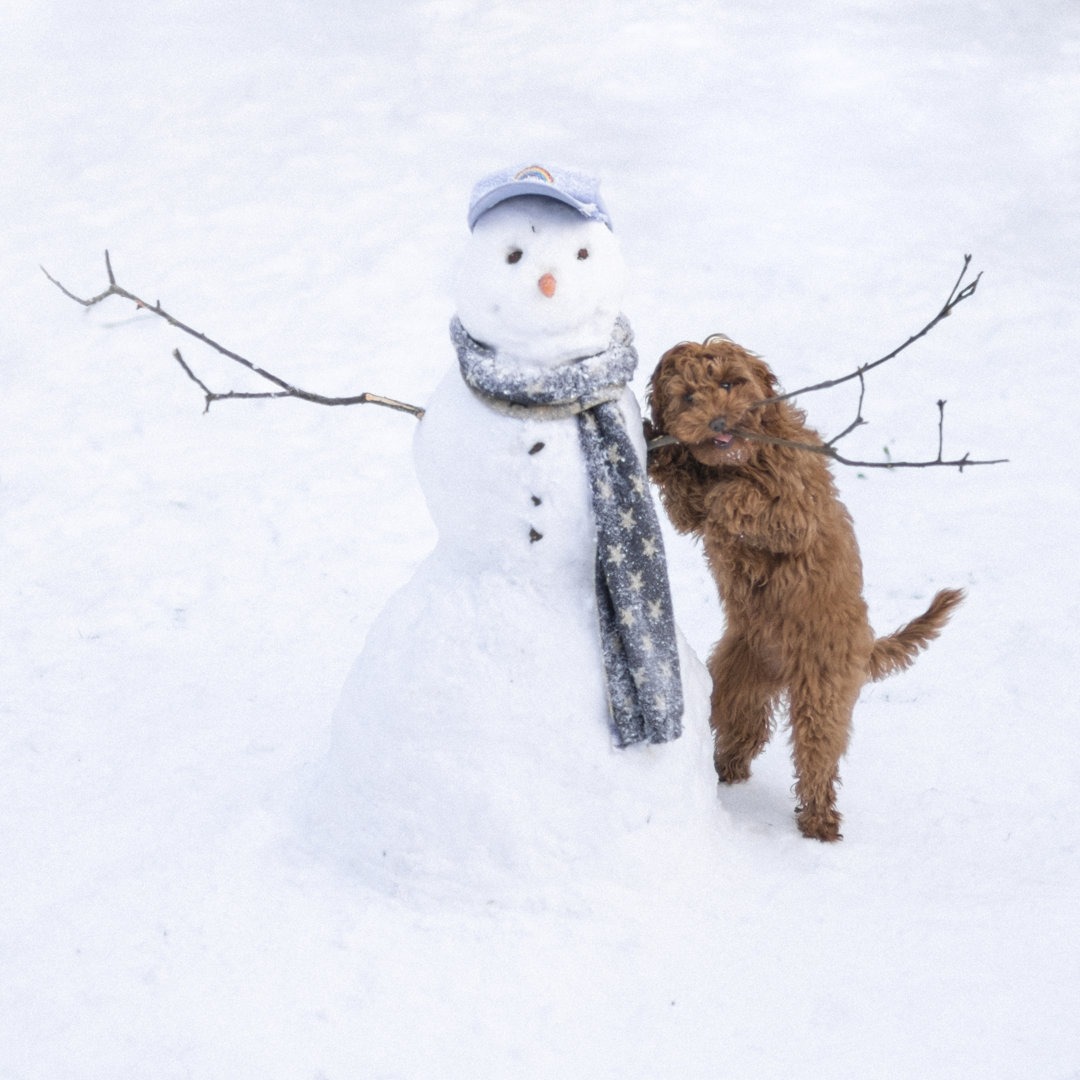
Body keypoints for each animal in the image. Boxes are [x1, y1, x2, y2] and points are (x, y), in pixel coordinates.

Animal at [643, 336, 967, 842]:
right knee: (742, 728)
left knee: (817, 754)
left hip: (823, 688)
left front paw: (722, 491)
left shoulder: (798, 507)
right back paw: (725, 770)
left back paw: (819, 821)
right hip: (738, 679)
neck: (742, 458)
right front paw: (662, 451)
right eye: (689, 397)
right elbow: (687, 499)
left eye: (729, 384)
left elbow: (743, 501)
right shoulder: (690, 508)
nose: (718, 423)